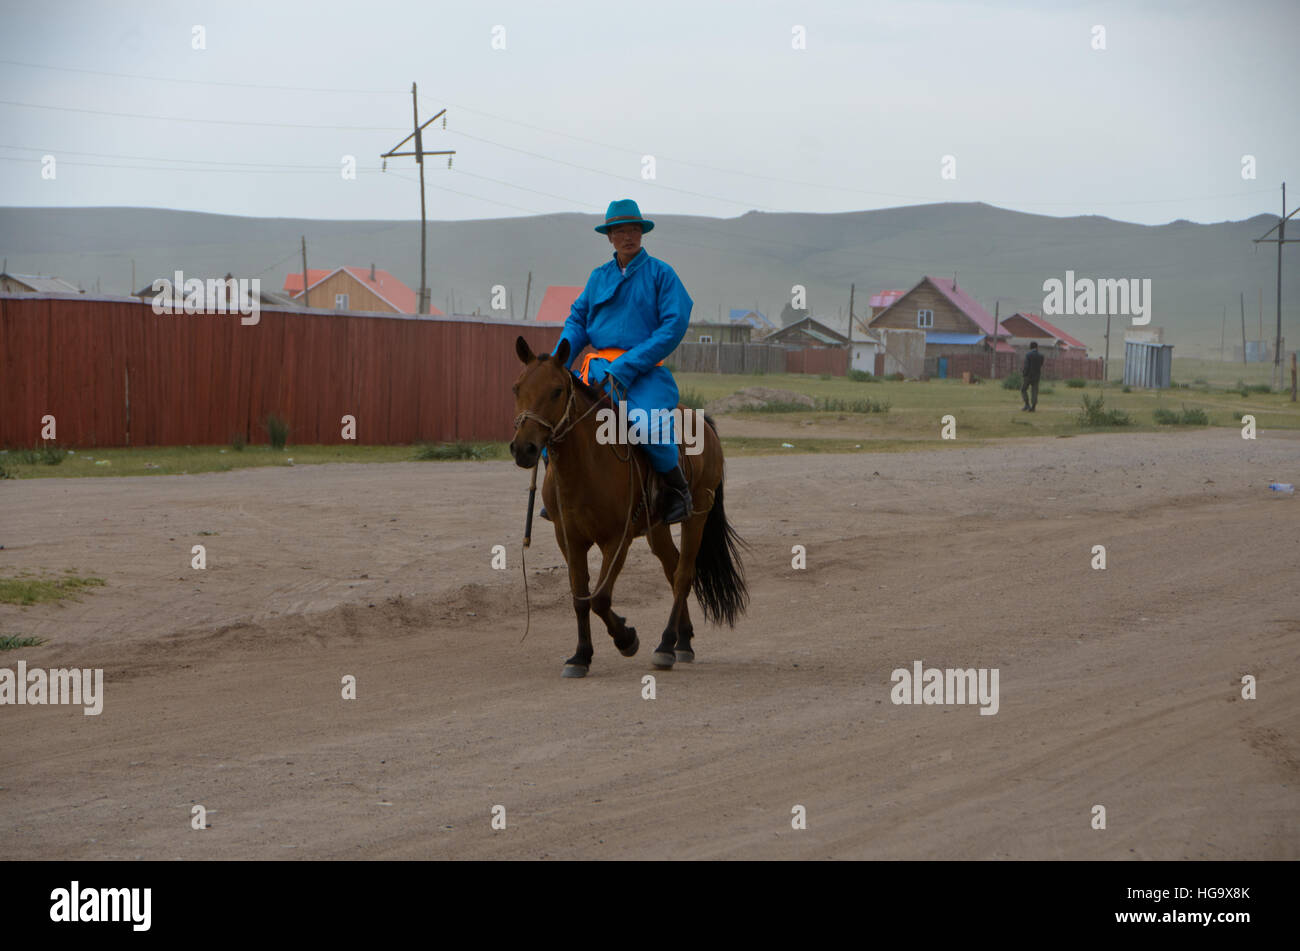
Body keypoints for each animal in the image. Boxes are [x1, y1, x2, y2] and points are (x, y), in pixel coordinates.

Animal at [509, 335, 748, 675]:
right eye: (517, 388)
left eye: (556, 391)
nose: (523, 448)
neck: (586, 466)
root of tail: (702, 421)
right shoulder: (569, 539)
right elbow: (580, 597)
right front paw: (581, 655)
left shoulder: (616, 540)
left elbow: (600, 598)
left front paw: (626, 639)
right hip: (657, 528)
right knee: (672, 568)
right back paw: (683, 641)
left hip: (698, 515)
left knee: (683, 576)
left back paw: (666, 645)